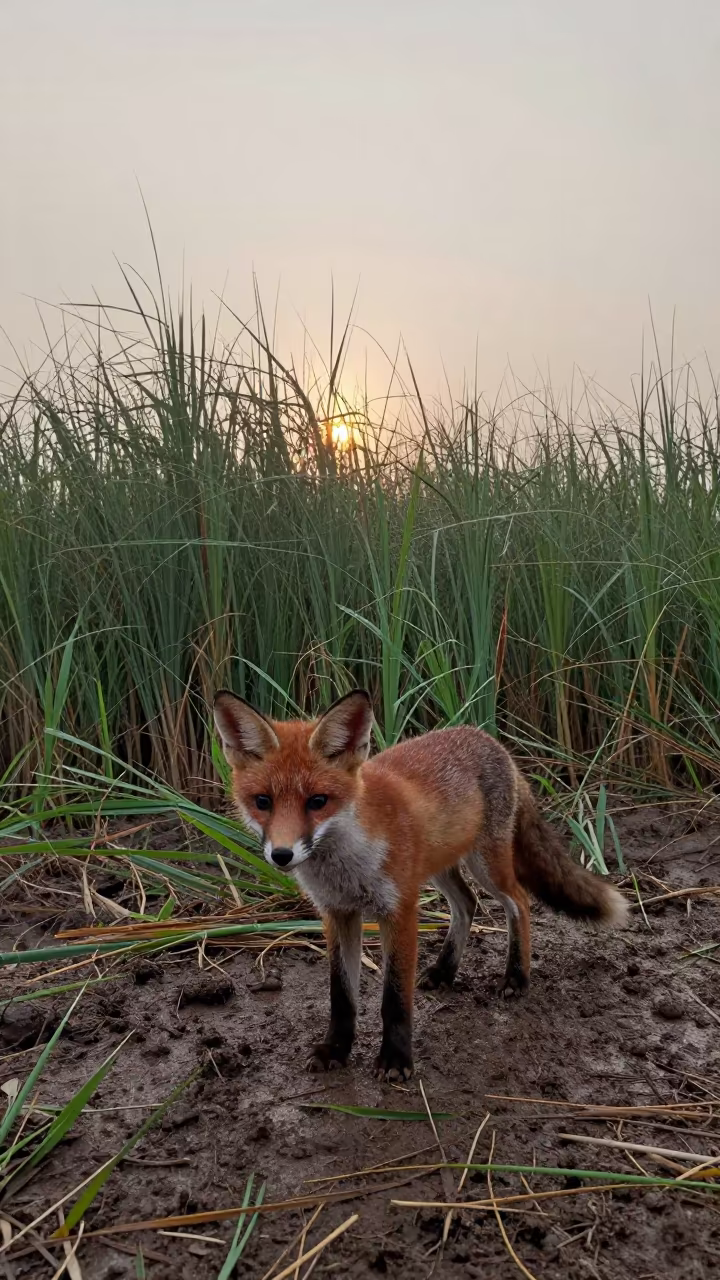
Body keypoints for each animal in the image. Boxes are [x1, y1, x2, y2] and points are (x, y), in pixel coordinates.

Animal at [213, 688, 628, 1082]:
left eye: (317, 801)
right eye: (262, 801)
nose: (281, 855)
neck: (347, 864)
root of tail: (489, 740)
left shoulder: (399, 910)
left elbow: (395, 1000)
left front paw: (396, 1060)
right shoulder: (338, 913)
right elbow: (341, 996)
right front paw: (336, 1049)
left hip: (486, 866)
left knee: (520, 903)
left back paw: (516, 976)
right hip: (438, 866)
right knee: (467, 903)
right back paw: (445, 971)